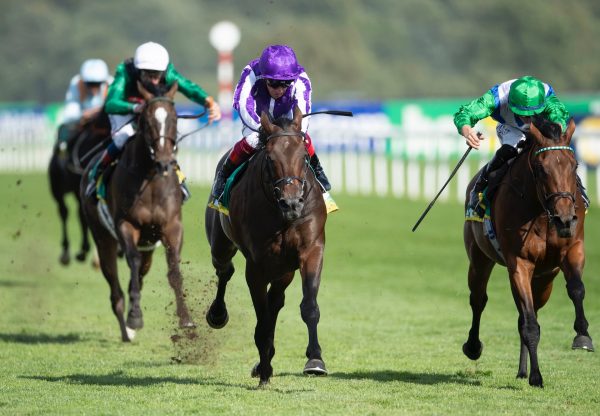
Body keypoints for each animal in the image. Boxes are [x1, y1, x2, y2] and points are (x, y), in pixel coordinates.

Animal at [81, 81, 195, 342]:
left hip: (149, 245)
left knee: (141, 274)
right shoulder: (126, 224)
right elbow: (131, 261)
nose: (164, 161)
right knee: (115, 285)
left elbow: (174, 269)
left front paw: (186, 319)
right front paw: (134, 317)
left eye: (175, 118)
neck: (151, 179)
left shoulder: (172, 226)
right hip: (103, 238)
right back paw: (127, 327)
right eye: (147, 120)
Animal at [206, 106, 328, 386]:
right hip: (221, 245)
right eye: (271, 159)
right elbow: (261, 320)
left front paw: (315, 360)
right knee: (224, 270)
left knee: (276, 301)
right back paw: (218, 314)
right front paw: (263, 372)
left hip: (284, 269)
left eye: (304, 156)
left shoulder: (311, 250)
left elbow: (309, 306)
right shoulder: (257, 265)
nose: (292, 203)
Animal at [462, 117, 592, 386]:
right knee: (479, 299)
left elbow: (576, 288)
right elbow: (531, 325)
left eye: (574, 165)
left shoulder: (573, 248)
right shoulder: (519, 263)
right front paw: (536, 376)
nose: (565, 219)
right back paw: (473, 347)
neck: (542, 213)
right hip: (479, 259)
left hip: (544, 279)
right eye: (541, 169)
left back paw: (521, 370)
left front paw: (583, 335)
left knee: (525, 314)